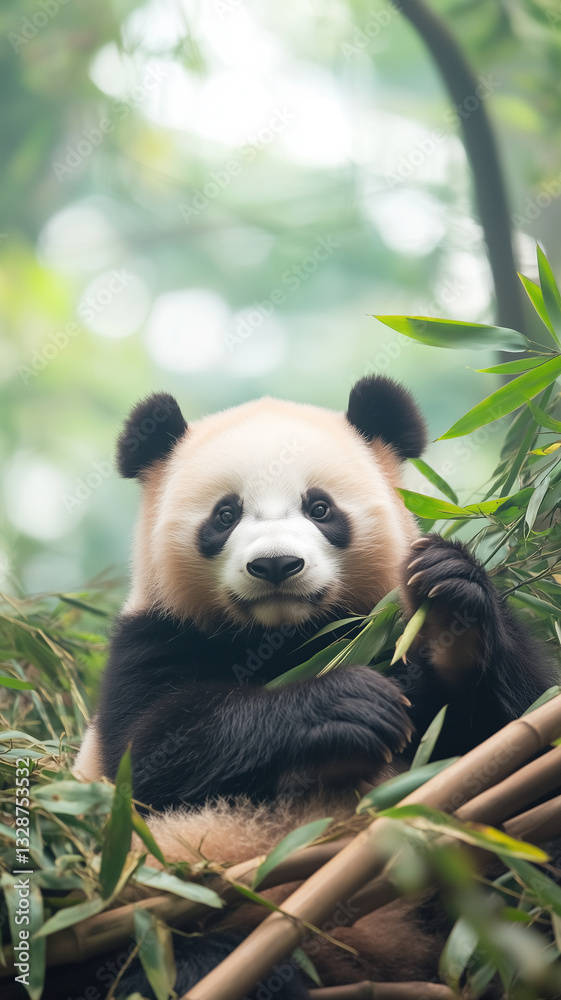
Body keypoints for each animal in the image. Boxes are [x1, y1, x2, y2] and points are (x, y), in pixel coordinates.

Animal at [72, 376, 557, 1000]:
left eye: (320, 507)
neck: (289, 638)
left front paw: (454, 610)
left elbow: (515, 741)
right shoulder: (153, 640)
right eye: (225, 515)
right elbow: (150, 754)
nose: (276, 564)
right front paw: (345, 707)